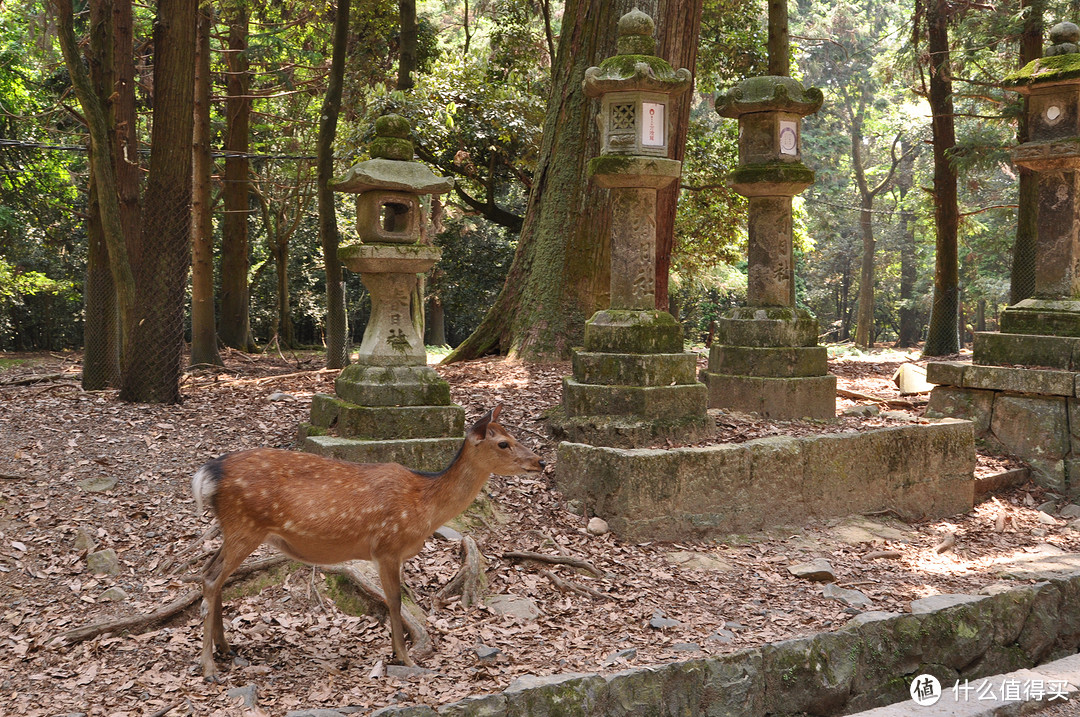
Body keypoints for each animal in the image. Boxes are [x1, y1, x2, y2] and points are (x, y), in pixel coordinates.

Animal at [191, 406, 544, 682]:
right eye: (503, 443)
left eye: (514, 436)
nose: (539, 461)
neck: (424, 506)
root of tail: (206, 475)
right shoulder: (387, 546)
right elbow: (395, 601)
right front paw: (405, 657)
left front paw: (397, 652)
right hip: (245, 527)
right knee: (210, 577)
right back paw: (209, 667)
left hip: (236, 529)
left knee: (212, 574)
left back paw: (225, 648)